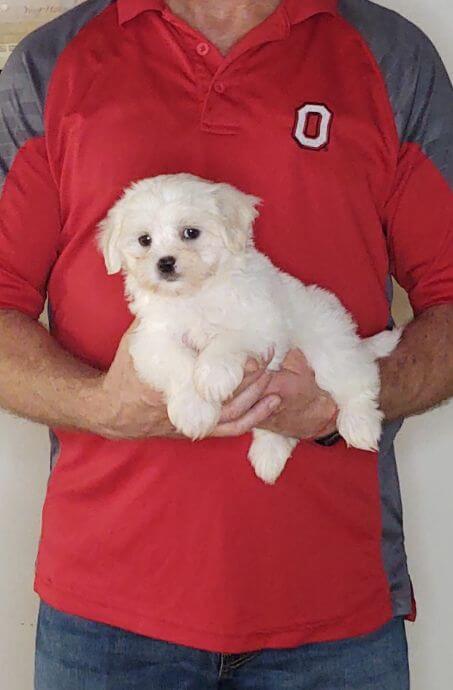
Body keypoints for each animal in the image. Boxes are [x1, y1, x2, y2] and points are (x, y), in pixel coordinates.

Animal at [98, 172, 400, 484]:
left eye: (191, 233)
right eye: (144, 240)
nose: (165, 263)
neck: (195, 294)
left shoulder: (261, 322)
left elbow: (227, 340)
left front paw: (213, 375)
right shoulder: (150, 339)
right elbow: (179, 363)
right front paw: (194, 409)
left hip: (328, 343)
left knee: (355, 381)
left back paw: (360, 425)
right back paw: (269, 456)